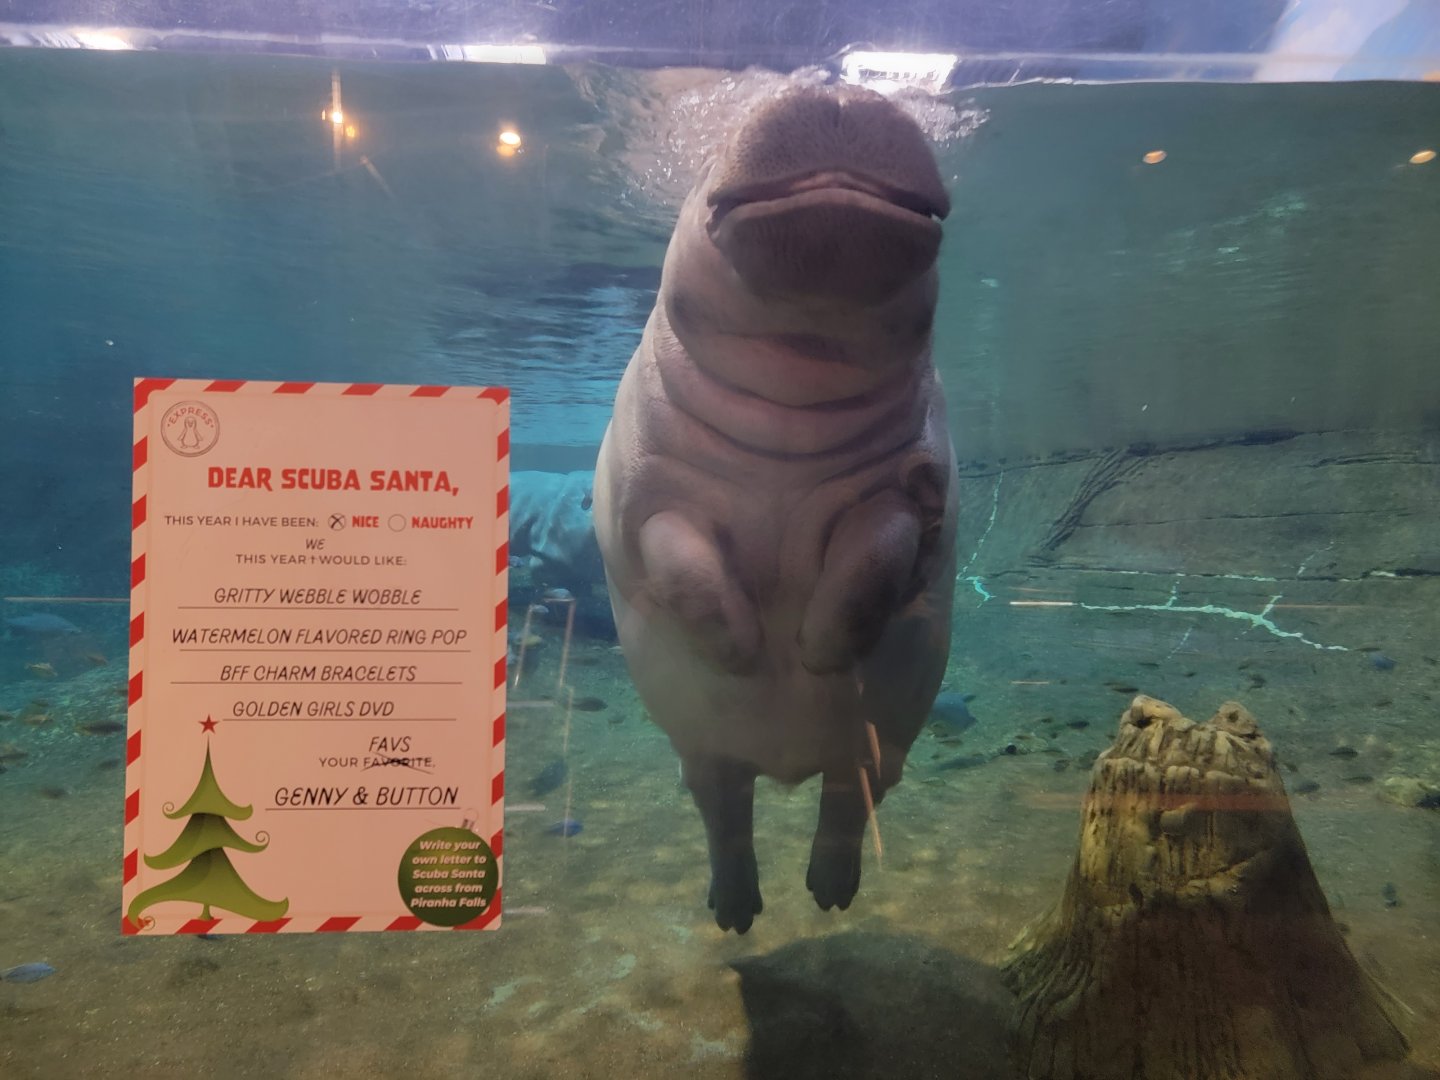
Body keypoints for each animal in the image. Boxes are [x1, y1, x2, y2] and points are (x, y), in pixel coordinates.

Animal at [593, 83, 958, 933]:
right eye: (699, 175)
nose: (841, 89)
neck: (795, 384)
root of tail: (787, 764)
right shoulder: (651, 498)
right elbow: (685, 562)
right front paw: (746, 651)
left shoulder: (899, 491)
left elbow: (871, 562)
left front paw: (815, 651)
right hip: (701, 751)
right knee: (725, 810)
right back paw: (736, 912)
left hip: (879, 746)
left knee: (848, 801)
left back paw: (828, 894)